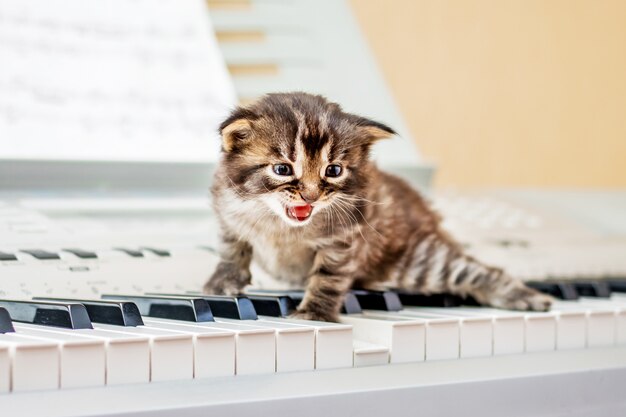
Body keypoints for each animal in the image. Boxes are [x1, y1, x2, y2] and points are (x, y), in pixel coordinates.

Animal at [202, 92, 548, 322]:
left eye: (333, 170)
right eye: (282, 169)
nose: (311, 196)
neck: (279, 225)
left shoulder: (343, 240)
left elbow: (328, 278)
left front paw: (314, 313)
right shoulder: (229, 216)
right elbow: (232, 251)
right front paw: (222, 283)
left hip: (421, 263)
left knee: (480, 272)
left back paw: (529, 297)